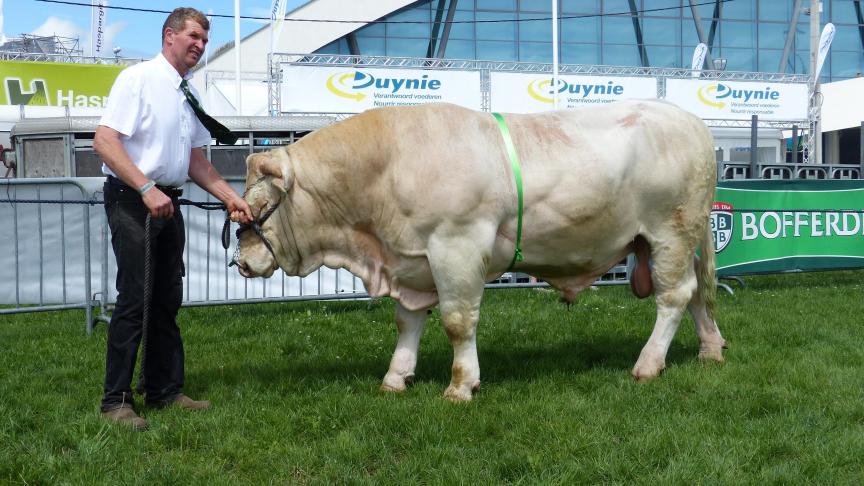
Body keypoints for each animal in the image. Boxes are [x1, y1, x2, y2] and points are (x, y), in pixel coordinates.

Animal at [235, 100, 724, 400]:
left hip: (670, 232)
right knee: (697, 292)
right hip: (680, 239)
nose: (240, 261)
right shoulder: (412, 262)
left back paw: (648, 364)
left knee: (674, 296)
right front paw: (396, 377)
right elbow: (407, 321)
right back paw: (710, 350)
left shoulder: (456, 246)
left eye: (256, 207)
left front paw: (461, 385)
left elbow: (457, 321)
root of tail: (689, 120)